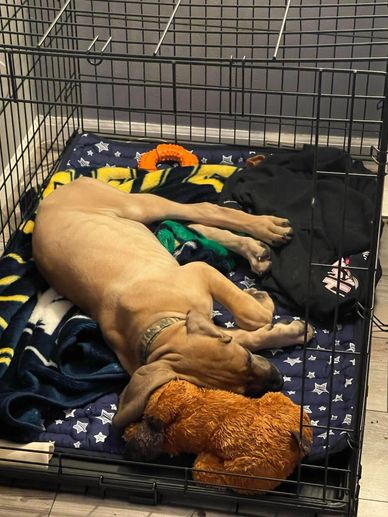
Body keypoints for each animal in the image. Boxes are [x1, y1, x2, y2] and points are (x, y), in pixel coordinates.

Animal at [31, 177, 314, 428]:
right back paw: (254, 250)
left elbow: (252, 316)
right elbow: (251, 333)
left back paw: (267, 230)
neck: (155, 324)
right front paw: (289, 330)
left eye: (246, 360)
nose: (278, 382)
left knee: (204, 210)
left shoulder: (199, 271)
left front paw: (263, 303)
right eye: (237, 391)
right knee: (193, 223)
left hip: (139, 206)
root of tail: (50, 197)